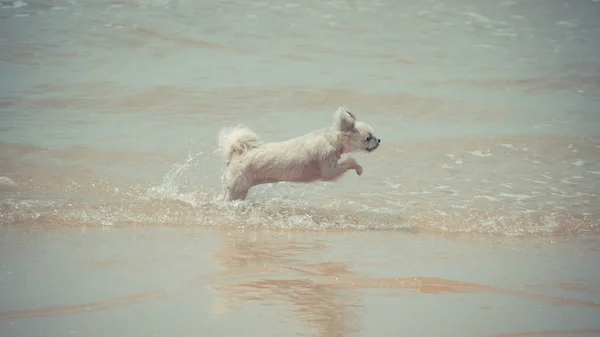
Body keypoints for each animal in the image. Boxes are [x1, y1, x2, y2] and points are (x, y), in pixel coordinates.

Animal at [218, 105, 382, 200]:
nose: (379, 140)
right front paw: (359, 169)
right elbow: (350, 161)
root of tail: (236, 155)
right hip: (237, 190)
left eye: (374, 136)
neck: (331, 140)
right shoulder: (328, 171)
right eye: (368, 138)